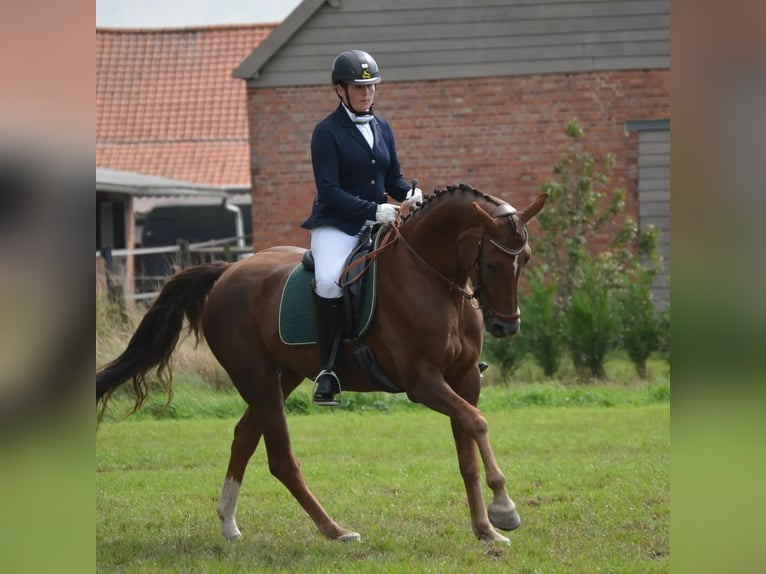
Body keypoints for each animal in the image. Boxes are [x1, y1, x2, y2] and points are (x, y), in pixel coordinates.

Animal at [96, 183, 548, 544]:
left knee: (244, 437)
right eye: (493, 263)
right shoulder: (423, 382)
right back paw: (334, 530)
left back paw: (229, 524)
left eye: (525, 258)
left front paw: (485, 529)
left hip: (284, 377)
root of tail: (228, 270)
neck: (434, 281)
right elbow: (478, 423)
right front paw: (504, 508)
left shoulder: (464, 378)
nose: (506, 326)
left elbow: (467, 449)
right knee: (280, 458)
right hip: (258, 378)